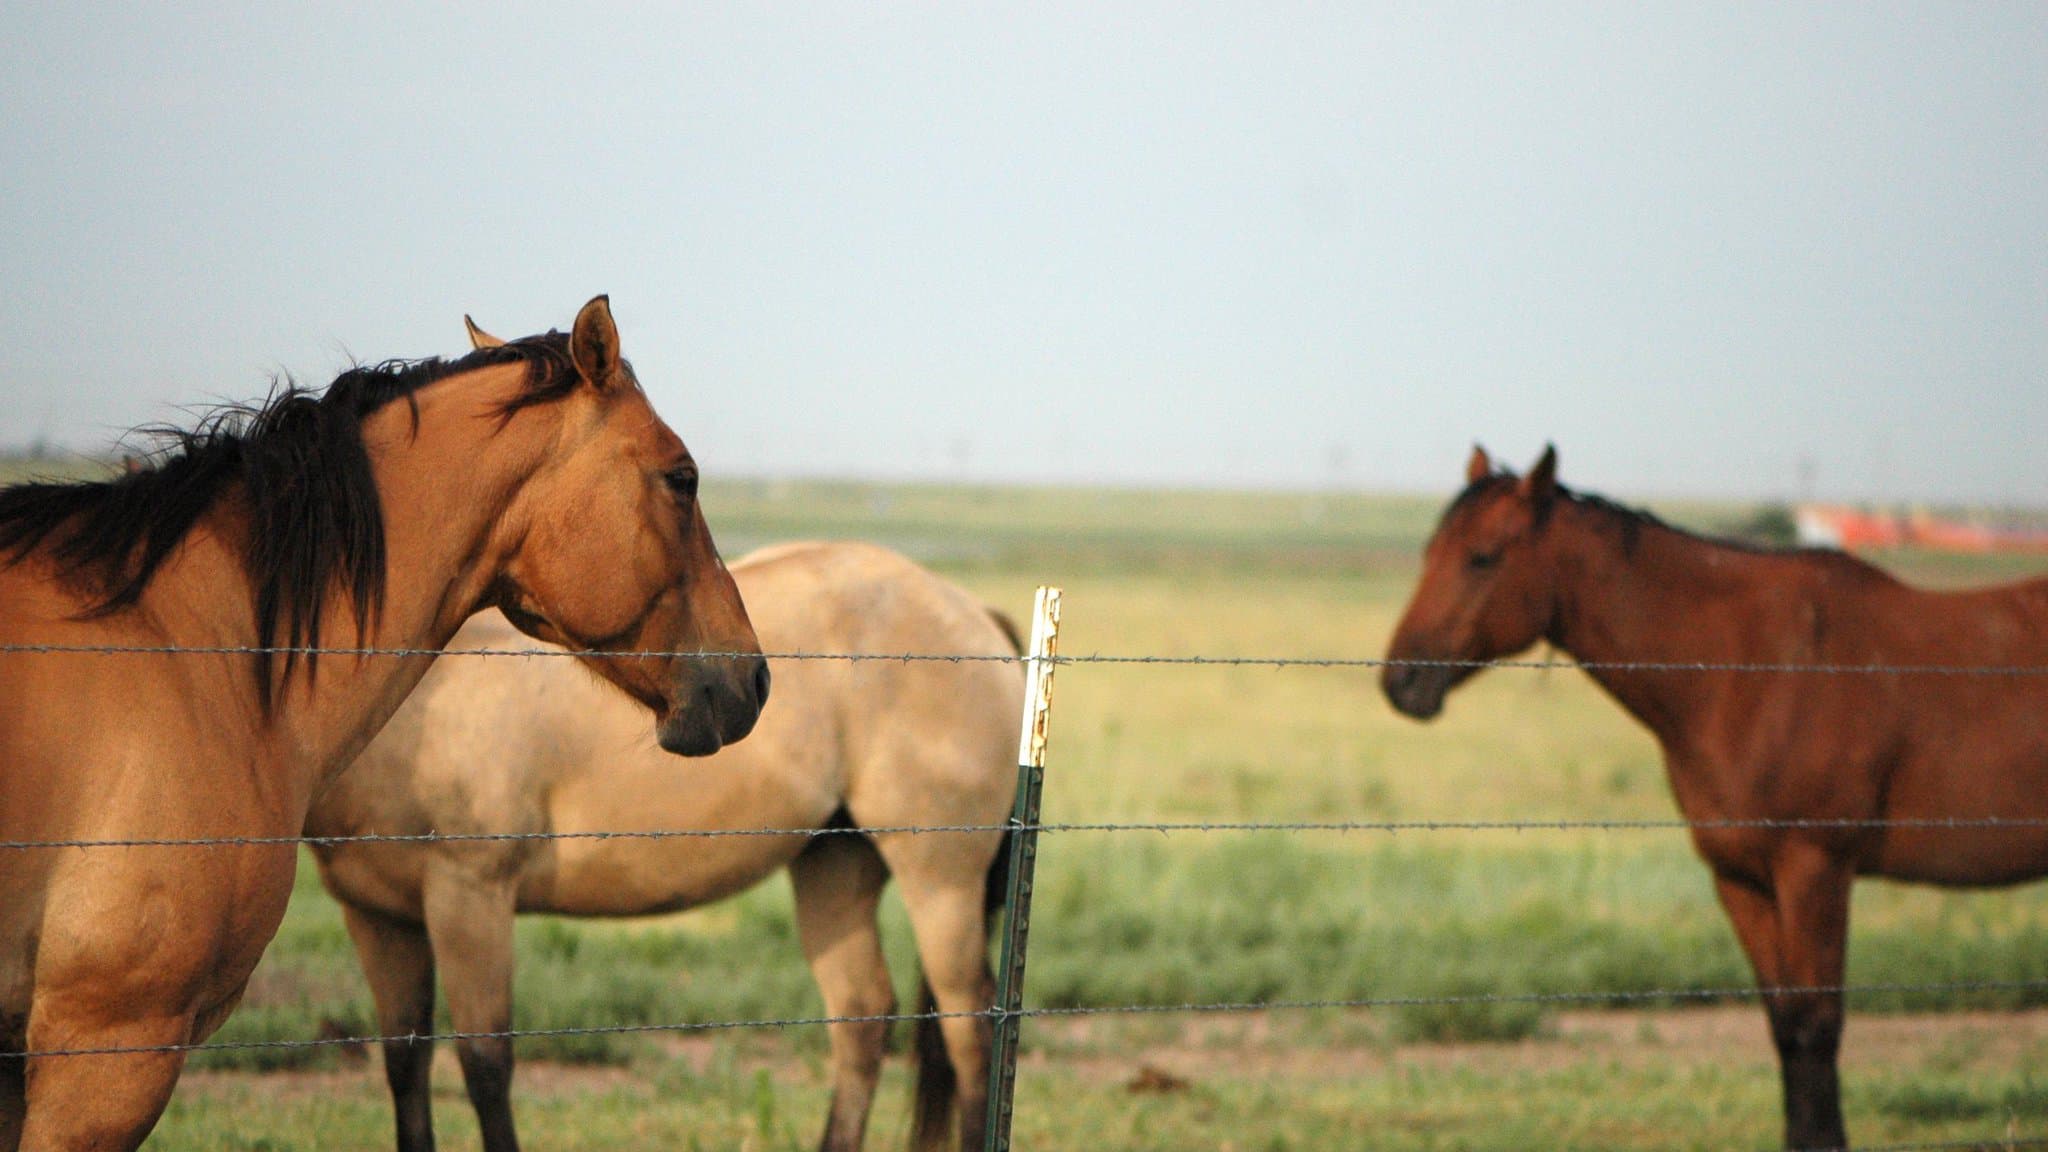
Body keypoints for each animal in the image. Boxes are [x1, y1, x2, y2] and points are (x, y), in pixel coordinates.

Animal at [309, 539, 1022, 1152]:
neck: (426, 702)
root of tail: (970, 611)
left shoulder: (470, 898)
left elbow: (486, 1066)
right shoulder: (377, 917)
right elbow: (405, 1065)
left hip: (939, 881)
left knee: (968, 1025)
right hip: (835, 865)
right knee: (862, 1015)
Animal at [1381, 445, 2048, 1151]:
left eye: (1482, 557)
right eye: (1429, 553)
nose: (1401, 680)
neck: (1752, 672)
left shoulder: (1815, 869)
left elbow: (1816, 1024)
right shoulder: (1740, 879)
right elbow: (1785, 1027)